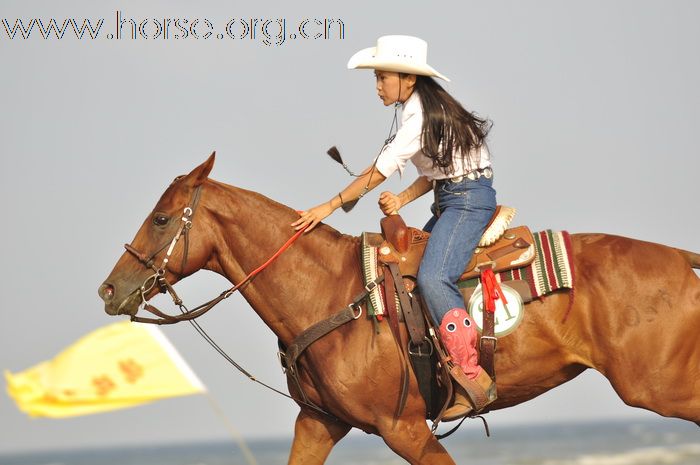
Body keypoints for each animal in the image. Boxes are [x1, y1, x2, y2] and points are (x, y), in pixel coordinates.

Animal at [98, 155, 700, 464]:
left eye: (160, 218)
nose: (109, 289)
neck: (331, 294)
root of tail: (682, 259)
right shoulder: (318, 423)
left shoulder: (403, 429)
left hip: (659, 385)